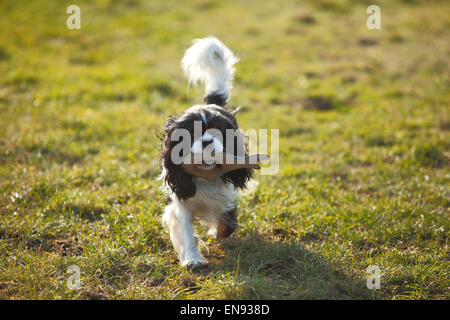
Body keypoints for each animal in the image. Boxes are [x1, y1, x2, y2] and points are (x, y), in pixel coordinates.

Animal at [160, 37, 255, 268]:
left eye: (219, 132)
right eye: (191, 133)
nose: (207, 141)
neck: (204, 175)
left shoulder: (227, 195)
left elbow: (227, 223)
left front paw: (218, 232)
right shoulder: (180, 203)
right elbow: (186, 232)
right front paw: (193, 260)